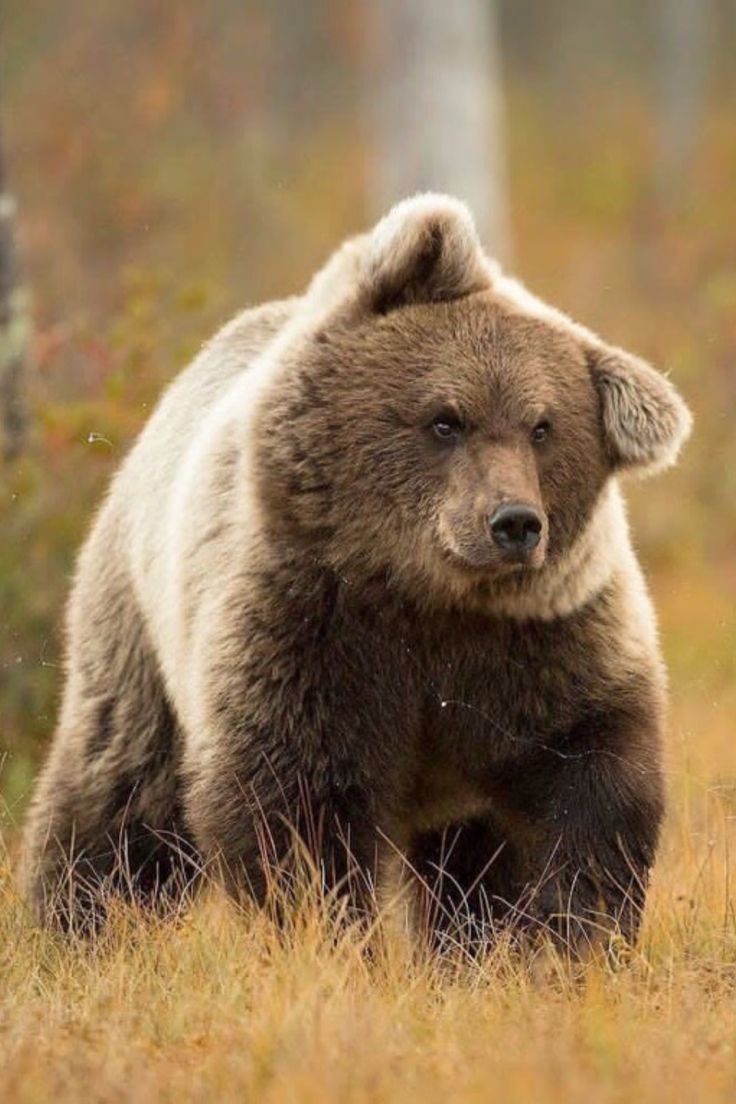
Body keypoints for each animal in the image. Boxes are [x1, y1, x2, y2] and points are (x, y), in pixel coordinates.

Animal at [21, 194, 692, 953]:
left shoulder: (546, 646)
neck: (427, 598)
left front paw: (566, 939)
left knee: (467, 864)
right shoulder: (310, 632)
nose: (515, 522)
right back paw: (75, 924)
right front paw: (327, 938)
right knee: (121, 792)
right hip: (140, 626)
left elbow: (592, 788)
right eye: (446, 419)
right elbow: (295, 809)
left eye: (543, 428)